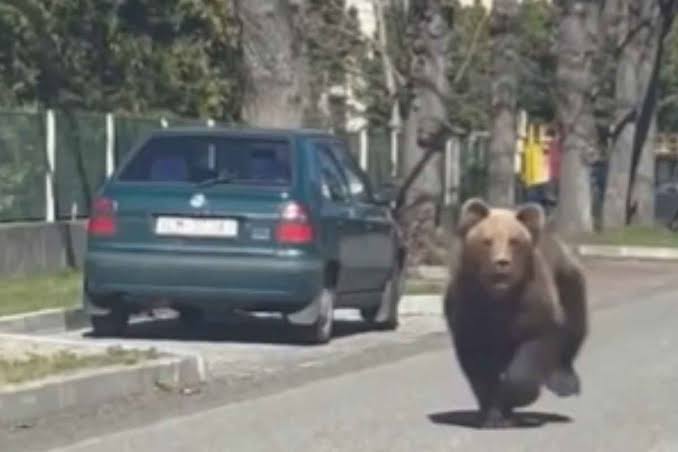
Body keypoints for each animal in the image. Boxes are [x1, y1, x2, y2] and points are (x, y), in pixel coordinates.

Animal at [443, 197, 588, 429]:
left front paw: (512, 396)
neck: (500, 297)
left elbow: (533, 350)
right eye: (487, 241)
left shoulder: (532, 303)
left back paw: (564, 381)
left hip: (566, 276)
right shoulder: (470, 309)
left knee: (575, 321)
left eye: (514, 241)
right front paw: (494, 414)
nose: (502, 263)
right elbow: (478, 365)